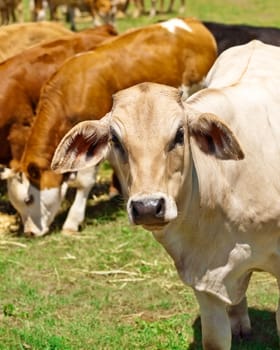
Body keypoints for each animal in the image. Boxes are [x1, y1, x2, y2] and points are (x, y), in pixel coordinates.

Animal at [3, 16, 217, 237]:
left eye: (28, 199)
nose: (29, 233)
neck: (72, 89)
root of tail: (190, 22)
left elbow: (84, 182)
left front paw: (72, 221)